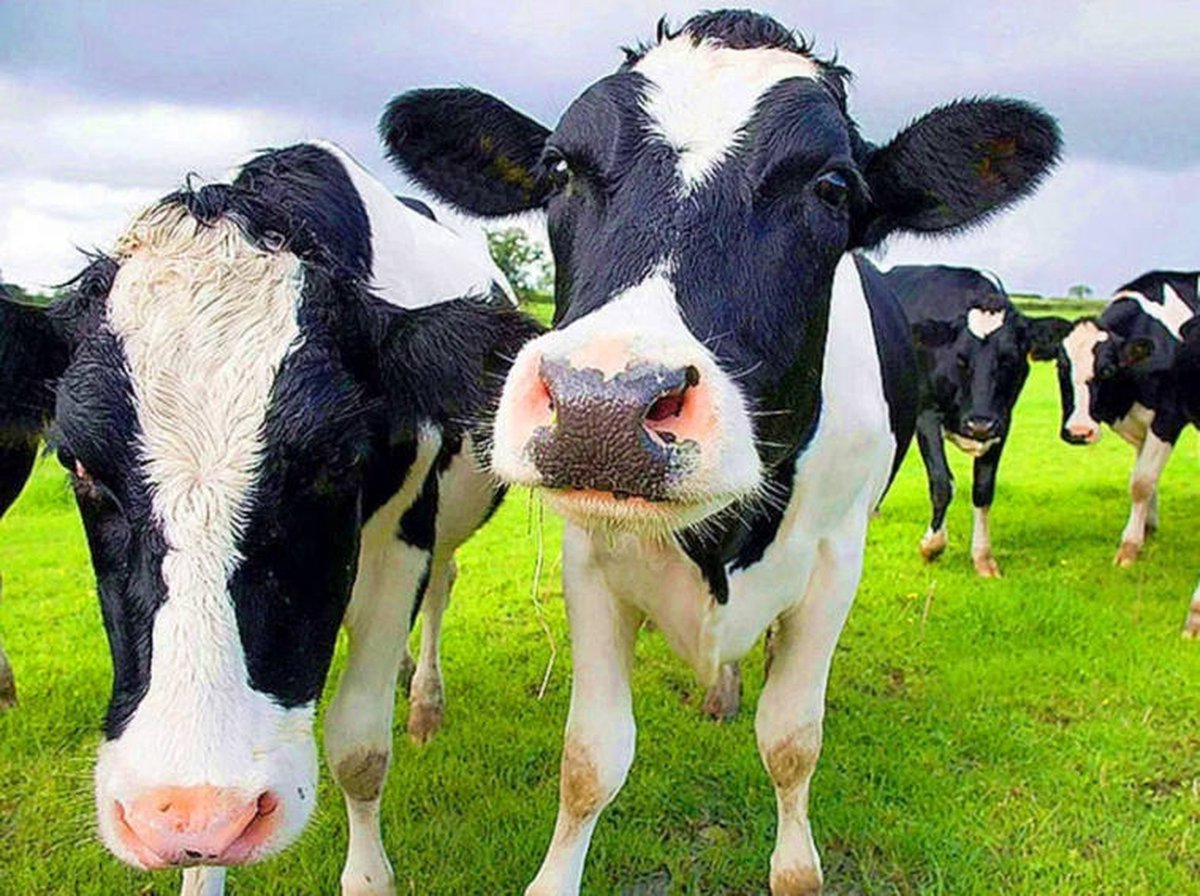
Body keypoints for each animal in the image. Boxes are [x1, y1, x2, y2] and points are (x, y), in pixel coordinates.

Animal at [0, 141, 541, 895]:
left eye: (333, 458)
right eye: (79, 464)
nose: (195, 812)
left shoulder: (403, 539)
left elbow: (359, 749)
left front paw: (368, 876)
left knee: (442, 586)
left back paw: (425, 702)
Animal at [884, 265, 1070, 576]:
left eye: (1009, 359)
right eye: (961, 358)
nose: (978, 424)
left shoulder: (1002, 423)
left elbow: (983, 490)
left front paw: (983, 558)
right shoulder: (927, 414)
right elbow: (941, 484)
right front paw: (932, 546)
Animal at [1056, 271, 1199, 569]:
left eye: (1108, 369)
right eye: (1061, 366)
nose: (1078, 431)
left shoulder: (1168, 419)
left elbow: (1142, 481)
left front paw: (1130, 546)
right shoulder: (1137, 425)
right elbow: (1145, 475)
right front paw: (1148, 527)